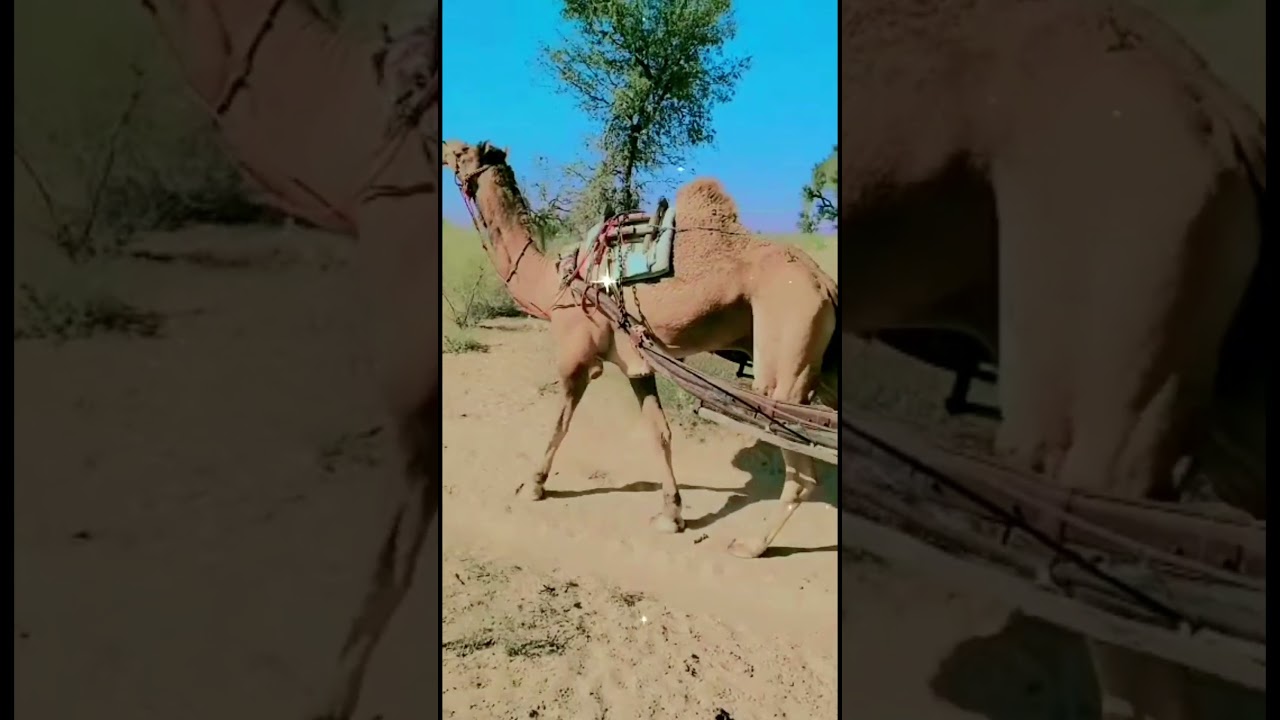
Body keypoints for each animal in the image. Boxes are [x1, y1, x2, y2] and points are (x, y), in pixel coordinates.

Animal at [442, 140, 840, 558]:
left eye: (463, 150)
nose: (445, 147)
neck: (553, 280)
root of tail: (825, 283)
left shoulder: (575, 354)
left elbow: (560, 422)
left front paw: (533, 485)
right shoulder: (637, 361)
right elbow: (659, 432)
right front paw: (671, 514)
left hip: (784, 354)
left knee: (802, 471)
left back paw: (751, 544)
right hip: (822, 364)